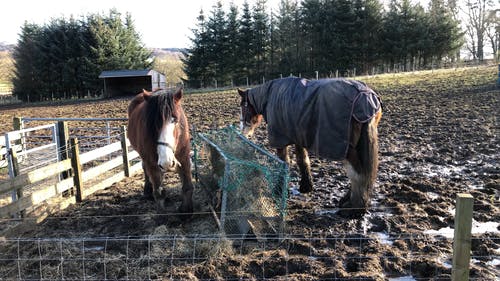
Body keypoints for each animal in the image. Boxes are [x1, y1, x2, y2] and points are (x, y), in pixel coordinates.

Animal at [238, 76, 382, 214]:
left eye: (243, 106)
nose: (243, 129)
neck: (270, 96)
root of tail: (365, 96)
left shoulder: (280, 140)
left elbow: (284, 162)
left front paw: (279, 190)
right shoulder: (297, 137)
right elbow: (302, 160)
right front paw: (306, 186)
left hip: (349, 150)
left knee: (359, 173)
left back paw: (354, 208)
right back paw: (348, 201)